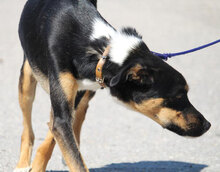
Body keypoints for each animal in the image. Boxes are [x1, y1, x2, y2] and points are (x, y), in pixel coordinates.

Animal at [14, 0, 211, 171]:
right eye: (178, 96)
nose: (208, 125)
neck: (101, 52)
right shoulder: (61, 110)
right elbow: (69, 152)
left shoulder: (74, 97)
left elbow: (57, 136)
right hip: (27, 76)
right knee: (27, 126)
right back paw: (23, 164)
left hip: (80, 92)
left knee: (78, 113)